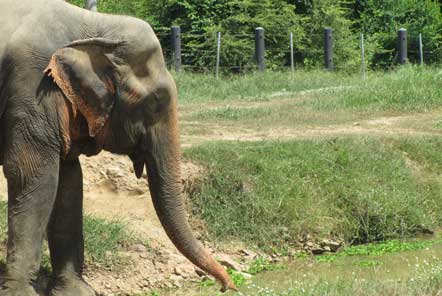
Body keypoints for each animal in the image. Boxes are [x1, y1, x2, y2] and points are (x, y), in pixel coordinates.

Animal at [0, 0, 238, 294]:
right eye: (155, 103)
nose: (227, 285)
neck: (96, 25)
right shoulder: (30, 86)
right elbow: (32, 174)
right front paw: (21, 292)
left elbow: (69, 180)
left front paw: (77, 291)